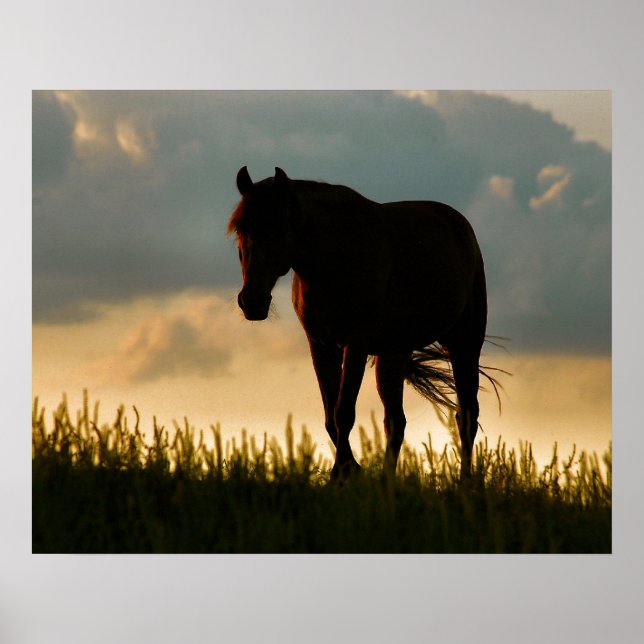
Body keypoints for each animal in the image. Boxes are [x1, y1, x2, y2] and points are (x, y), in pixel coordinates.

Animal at [228, 166, 497, 479]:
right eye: (240, 230)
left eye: (274, 227)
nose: (252, 301)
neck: (334, 259)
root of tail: (460, 225)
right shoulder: (321, 345)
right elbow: (330, 415)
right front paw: (348, 470)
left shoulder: (355, 344)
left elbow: (343, 413)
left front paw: (344, 472)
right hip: (394, 353)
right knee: (396, 422)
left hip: (465, 342)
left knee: (466, 415)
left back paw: (466, 481)